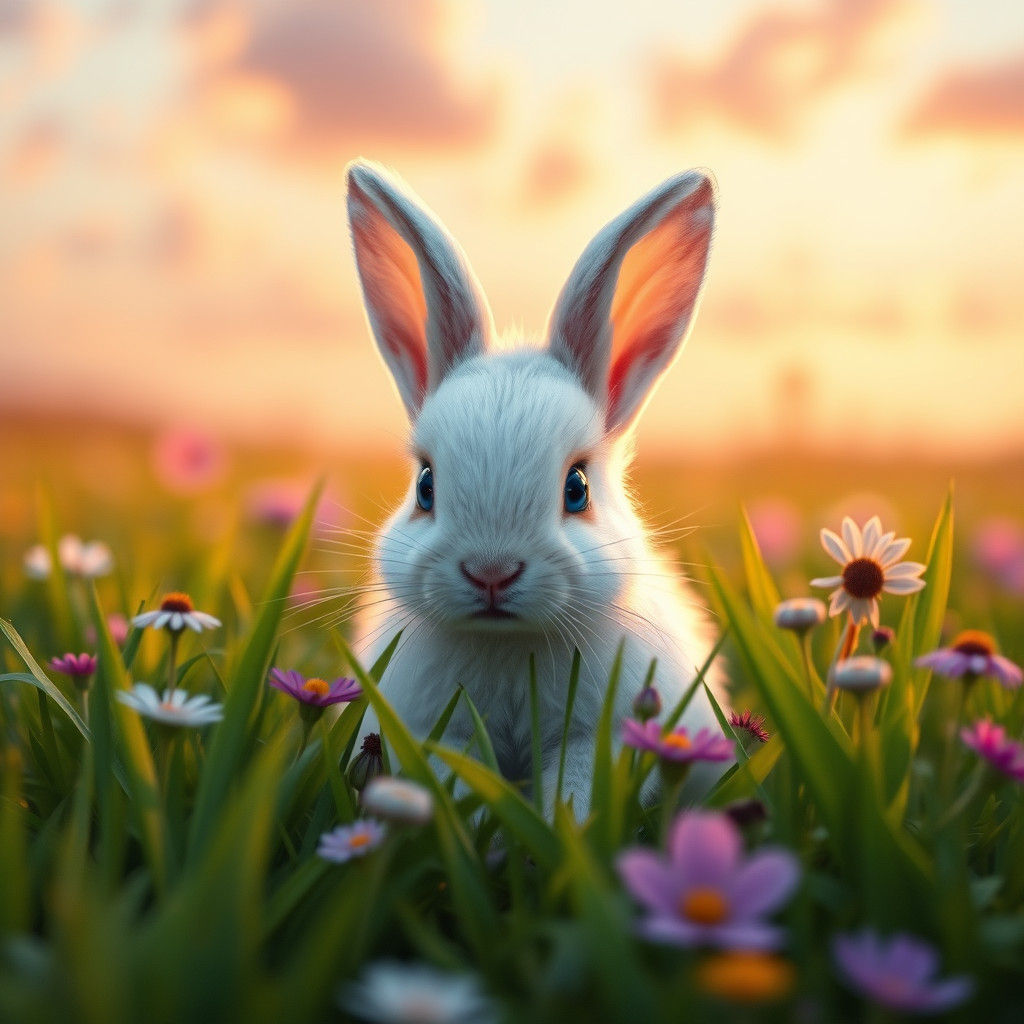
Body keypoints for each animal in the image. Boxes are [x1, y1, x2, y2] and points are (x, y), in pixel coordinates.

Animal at [345, 160, 728, 819]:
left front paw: (560, 826)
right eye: (425, 485)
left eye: (577, 488)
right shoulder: (440, 730)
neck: (507, 642)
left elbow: (573, 785)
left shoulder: (594, 737)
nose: (491, 572)